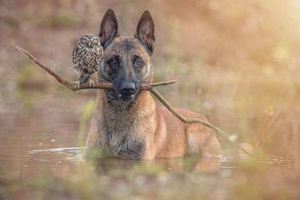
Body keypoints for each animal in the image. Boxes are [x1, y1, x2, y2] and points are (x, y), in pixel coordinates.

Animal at [84, 9, 220, 160]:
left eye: (138, 61)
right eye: (113, 61)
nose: (128, 89)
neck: (120, 114)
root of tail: (203, 118)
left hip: (194, 135)